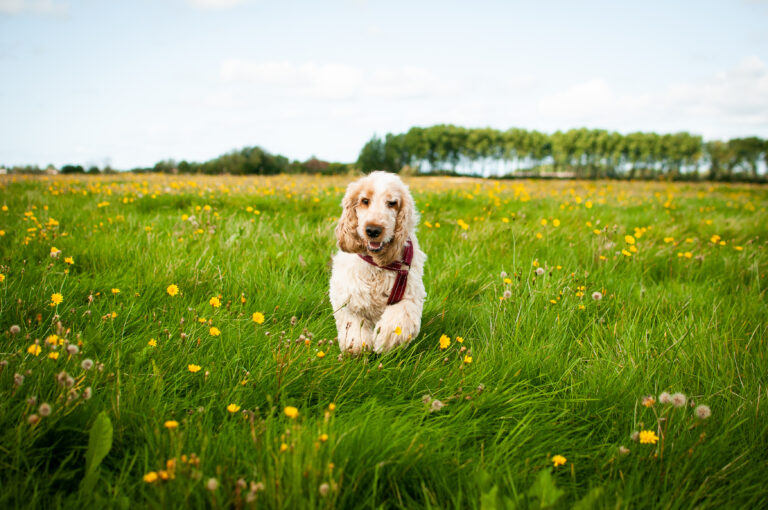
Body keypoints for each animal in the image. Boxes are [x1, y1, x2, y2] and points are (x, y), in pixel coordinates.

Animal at [328, 169, 428, 352]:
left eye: (392, 203)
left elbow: (400, 317)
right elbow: (352, 322)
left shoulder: (411, 293)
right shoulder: (346, 294)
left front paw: (385, 338)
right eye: (364, 201)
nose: (373, 230)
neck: (377, 264)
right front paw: (357, 345)